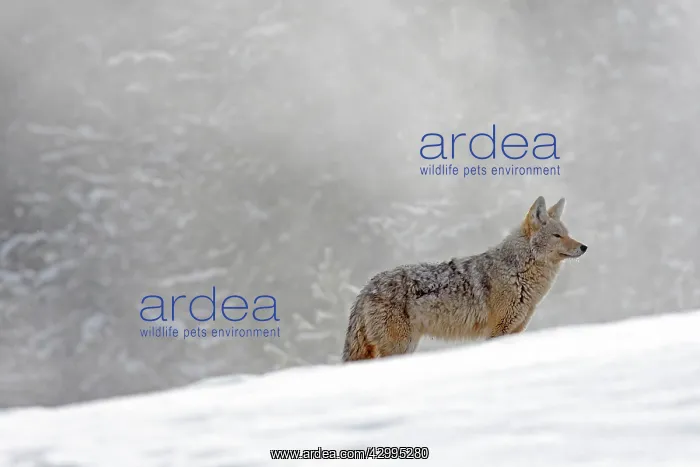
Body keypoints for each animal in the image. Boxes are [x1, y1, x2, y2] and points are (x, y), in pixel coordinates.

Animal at [342, 196, 587, 362]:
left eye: (567, 234)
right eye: (557, 236)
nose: (584, 247)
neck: (517, 271)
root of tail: (366, 288)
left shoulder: (515, 330)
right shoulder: (497, 331)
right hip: (400, 346)